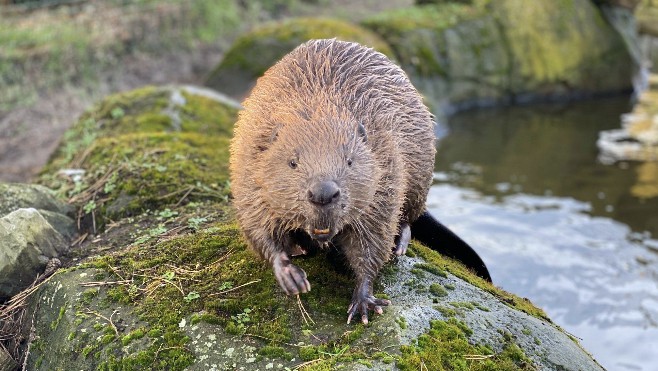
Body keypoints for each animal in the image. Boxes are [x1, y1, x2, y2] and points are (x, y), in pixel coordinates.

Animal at [228, 38, 490, 326]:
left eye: (350, 161)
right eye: (293, 162)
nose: (323, 193)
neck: (317, 108)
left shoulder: (385, 173)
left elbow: (372, 242)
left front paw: (364, 302)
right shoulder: (249, 170)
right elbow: (258, 228)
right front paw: (291, 276)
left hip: (421, 175)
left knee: (409, 215)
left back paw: (400, 243)